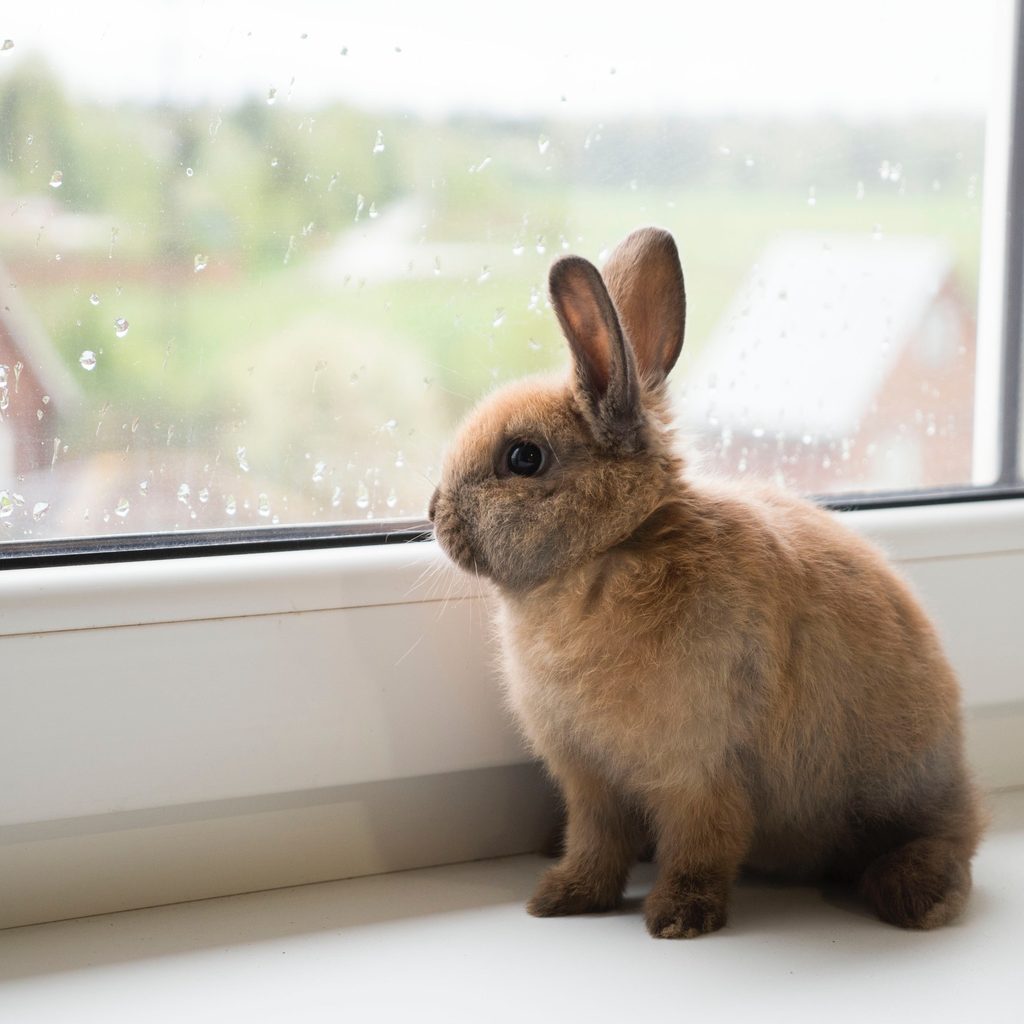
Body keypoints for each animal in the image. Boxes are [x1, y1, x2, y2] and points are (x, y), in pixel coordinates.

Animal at [429, 226, 983, 937]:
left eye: (524, 458)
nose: (433, 512)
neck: (613, 549)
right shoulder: (591, 782)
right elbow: (595, 842)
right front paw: (562, 898)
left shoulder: (701, 770)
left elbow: (703, 844)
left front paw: (678, 918)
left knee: (948, 842)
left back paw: (917, 895)